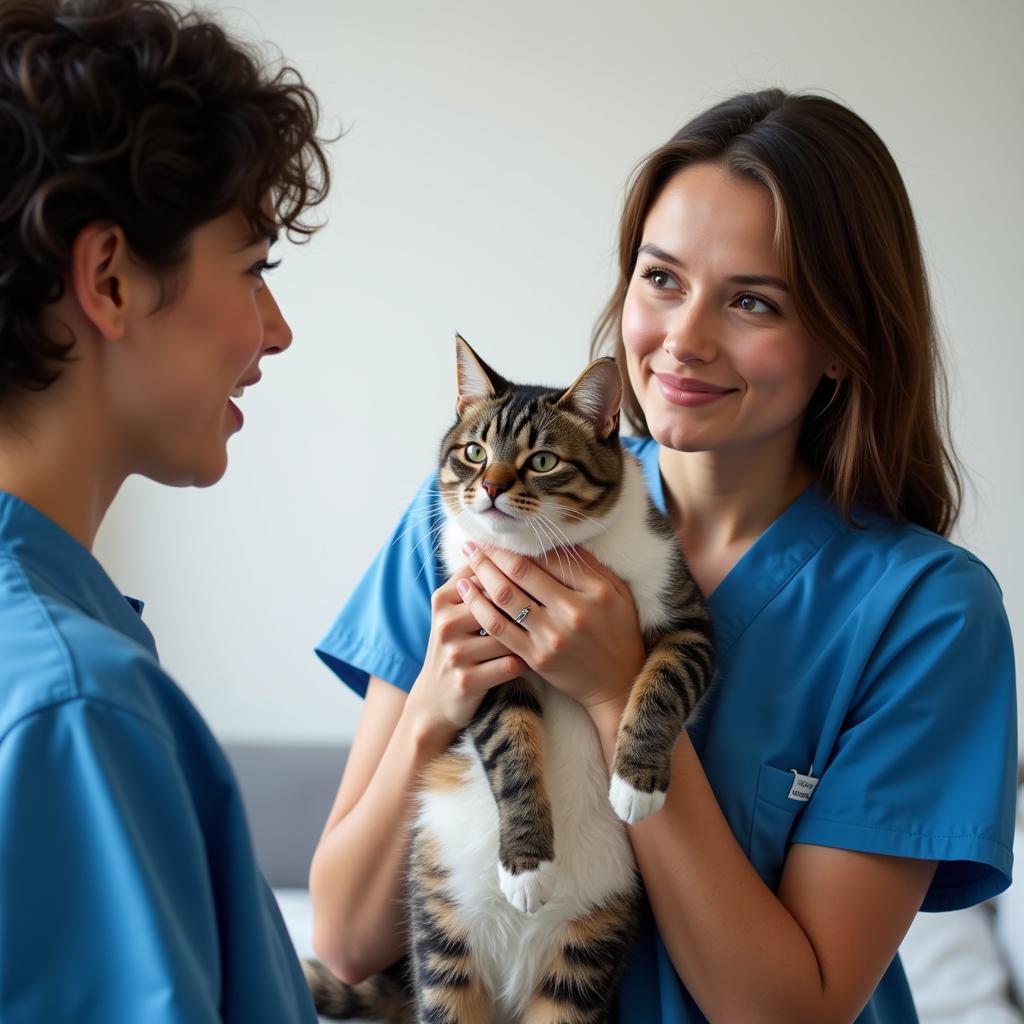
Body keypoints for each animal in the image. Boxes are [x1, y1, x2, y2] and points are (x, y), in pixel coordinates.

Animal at [307, 337, 716, 1024]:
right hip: (442, 933)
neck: (540, 556)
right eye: (475, 451)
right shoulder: (484, 657)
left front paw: (636, 782)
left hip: (584, 955)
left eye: (542, 460)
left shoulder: (688, 616)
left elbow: (663, 679)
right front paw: (527, 866)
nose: (492, 488)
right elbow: (511, 749)